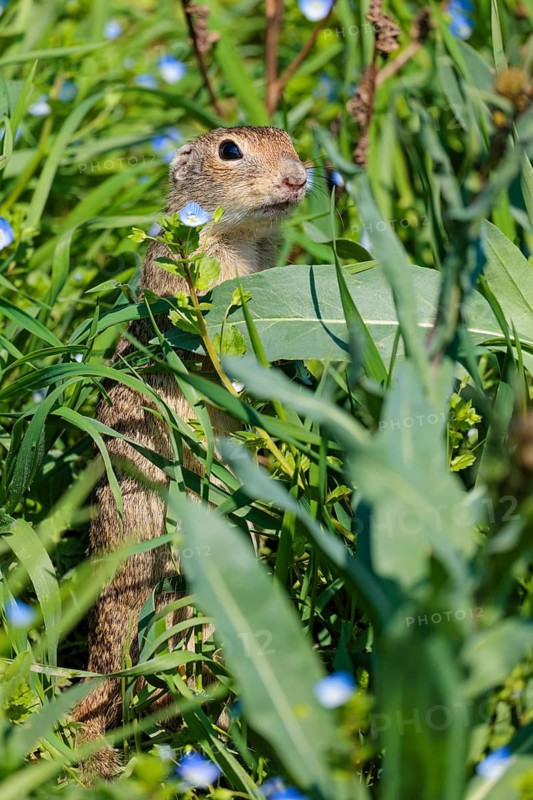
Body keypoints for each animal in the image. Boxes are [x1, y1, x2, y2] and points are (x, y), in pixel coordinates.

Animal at [73, 126, 308, 780]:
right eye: (229, 150)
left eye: (289, 139)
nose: (298, 177)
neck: (242, 238)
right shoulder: (190, 288)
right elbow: (211, 346)